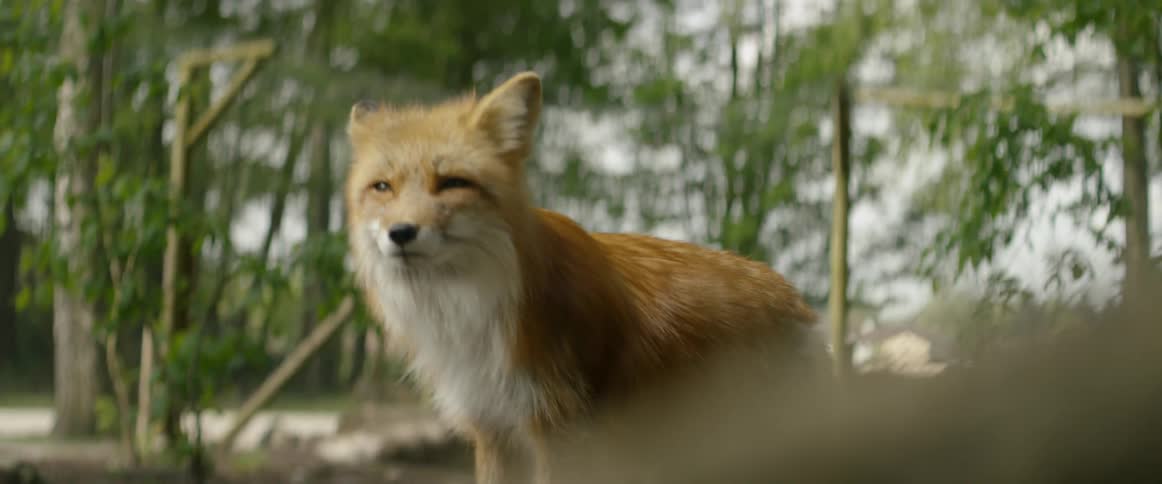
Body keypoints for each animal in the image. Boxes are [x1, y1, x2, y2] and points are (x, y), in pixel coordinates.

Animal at [344, 71, 824, 484]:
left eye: (452, 182)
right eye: (382, 187)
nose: (400, 233)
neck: (469, 315)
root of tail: (794, 297)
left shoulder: (558, 427)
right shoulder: (494, 428)